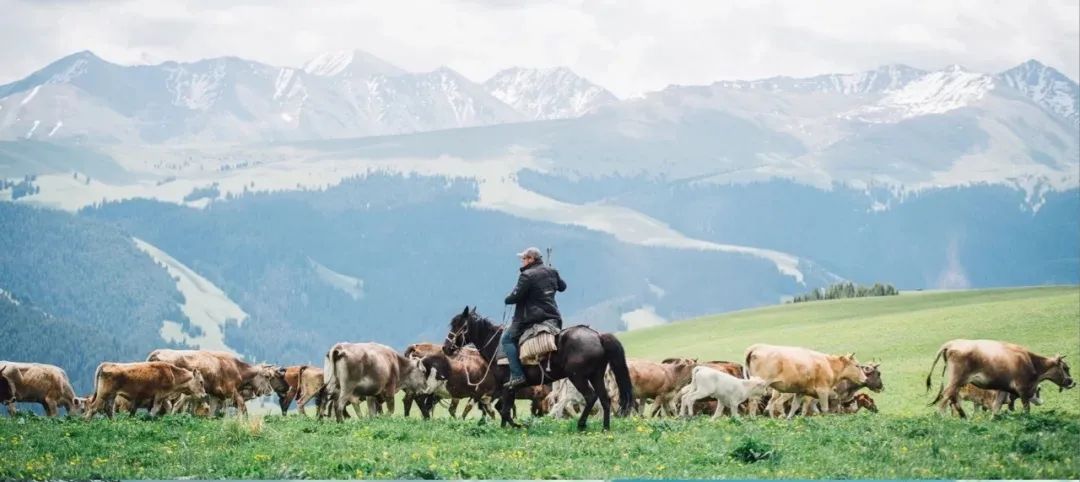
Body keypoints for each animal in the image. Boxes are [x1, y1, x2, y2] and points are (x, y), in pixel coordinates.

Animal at [440, 306, 630, 430]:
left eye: (461, 326)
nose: (446, 348)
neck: (496, 345)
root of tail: (598, 336)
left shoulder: (507, 386)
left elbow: (504, 409)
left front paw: (517, 426)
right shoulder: (507, 388)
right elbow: (502, 408)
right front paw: (507, 427)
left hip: (578, 377)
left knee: (590, 397)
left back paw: (581, 424)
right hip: (595, 375)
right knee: (604, 399)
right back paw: (605, 428)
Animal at [928, 339, 1071, 417]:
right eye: (1065, 368)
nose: (1073, 382)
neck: (1030, 361)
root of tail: (951, 344)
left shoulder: (1004, 389)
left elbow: (997, 408)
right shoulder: (1023, 389)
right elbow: (1026, 408)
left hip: (957, 384)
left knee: (952, 399)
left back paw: (963, 416)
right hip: (956, 381)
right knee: (945, 397)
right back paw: (944, 417)